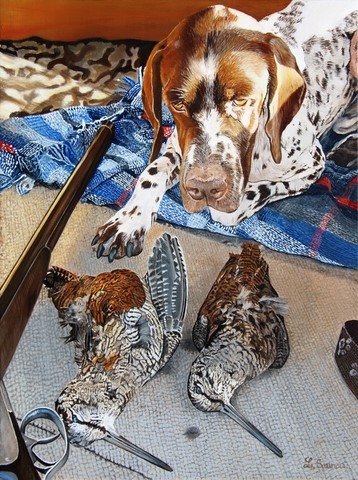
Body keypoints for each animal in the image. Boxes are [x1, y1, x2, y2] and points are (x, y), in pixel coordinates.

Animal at [93, 0, 358, 262]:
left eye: (241, 100)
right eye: (177, 103)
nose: (205, 188)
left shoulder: (312, 166)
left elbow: (238, 205)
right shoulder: (177, 147)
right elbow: (151, 172)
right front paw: (128, 221)